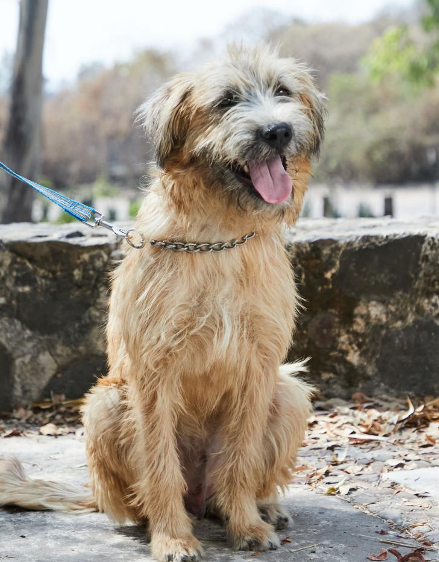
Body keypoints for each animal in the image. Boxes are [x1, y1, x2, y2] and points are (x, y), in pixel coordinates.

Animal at [0, 44, 326, 560]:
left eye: (283, 91)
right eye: (226, 100)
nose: (278, 131)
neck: (220, 238)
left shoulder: (259, 365)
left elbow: (241, 457)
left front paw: (246, 526)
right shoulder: (156, 368)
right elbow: (159, 463)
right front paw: (172, 537)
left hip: (288, 392)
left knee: (239, 477)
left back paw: (261, 507)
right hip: (105, 404)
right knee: (140, 496)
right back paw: (155, 520)